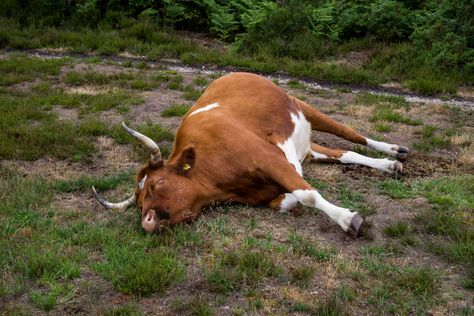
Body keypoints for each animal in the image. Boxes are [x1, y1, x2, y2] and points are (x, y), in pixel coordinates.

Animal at [92, 71, 408, 237]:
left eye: (157, 183)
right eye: (139, 203)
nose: (146, 221)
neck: (217, 177)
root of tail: (234, 73)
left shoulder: (269, 158)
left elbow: (307, 195)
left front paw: (347, 219)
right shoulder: (271, 182)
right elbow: (289, 200)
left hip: (304, 106)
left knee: (350, 133)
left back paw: (396, 150)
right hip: (307, 147)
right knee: (343, 153)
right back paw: (389, 164)